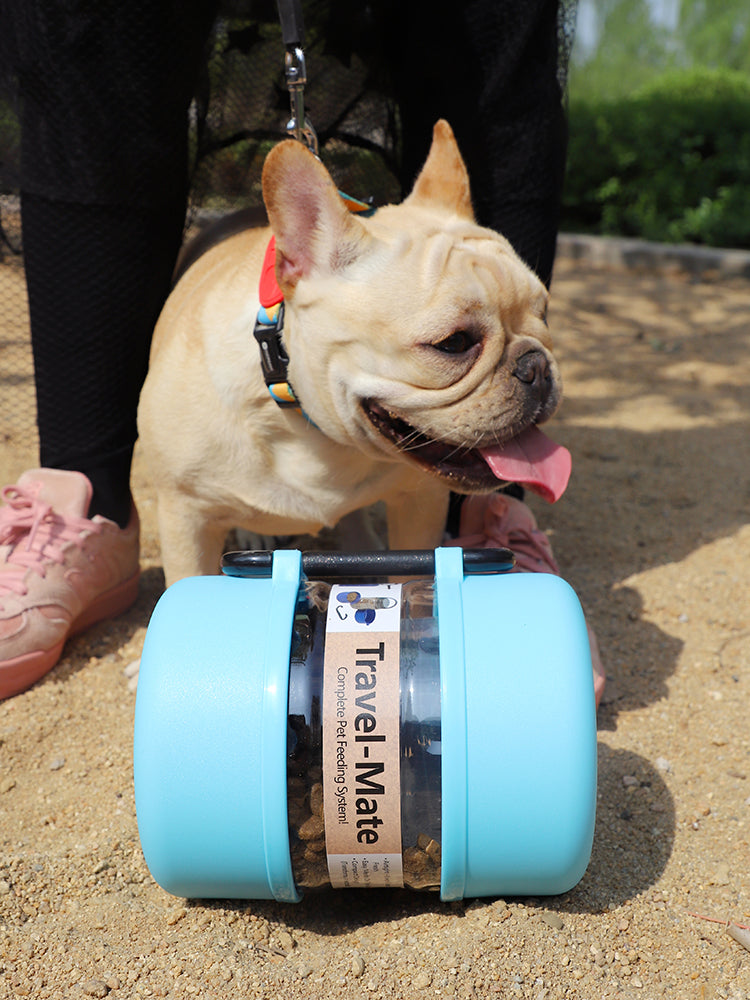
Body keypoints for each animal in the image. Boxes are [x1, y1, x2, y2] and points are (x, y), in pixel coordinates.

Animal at [138, 121, 568, 584]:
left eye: (544, 313)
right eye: (453, 343)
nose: (537, 367)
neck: (307, 427)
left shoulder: (420, 502)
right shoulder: (186, 518)